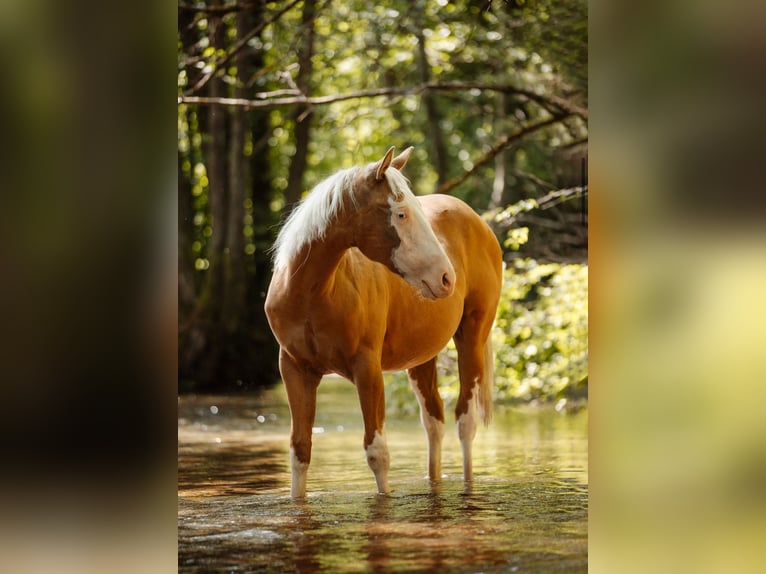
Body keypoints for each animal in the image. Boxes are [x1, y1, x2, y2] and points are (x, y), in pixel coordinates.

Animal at [265, 146, 503, 498]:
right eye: (401, 214)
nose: (447, 278)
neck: (314, 294)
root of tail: (478, 223)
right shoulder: (295, 369)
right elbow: (300, 450)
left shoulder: (367, 369)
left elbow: (377, 452)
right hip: (421, 359)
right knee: (434, 422)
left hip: (472, 336)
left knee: (465, 422)